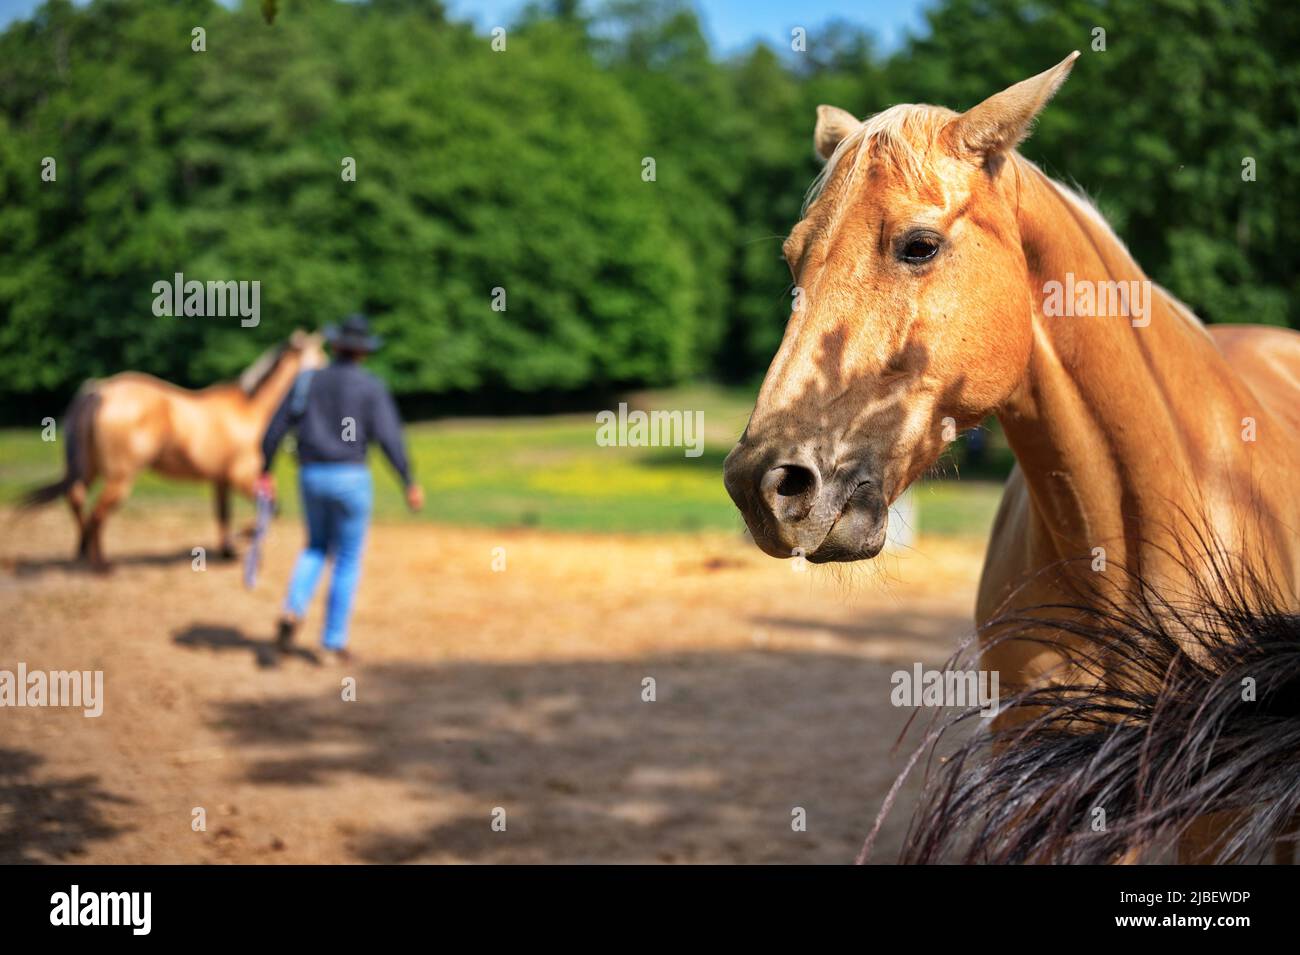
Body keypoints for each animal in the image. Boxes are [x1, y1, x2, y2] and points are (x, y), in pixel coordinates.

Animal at [21, 330, 326, 569]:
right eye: (322, 359)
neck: (250, 411)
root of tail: (102, 390)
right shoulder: (242, 475)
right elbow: (273, 509)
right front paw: (242, 537)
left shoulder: (221, 480)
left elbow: (223, 514)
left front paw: (228, 550)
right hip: (120, 477)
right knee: (98, 512)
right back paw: (101, 565)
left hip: (89, 467)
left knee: (76, 497)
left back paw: (82, 551)